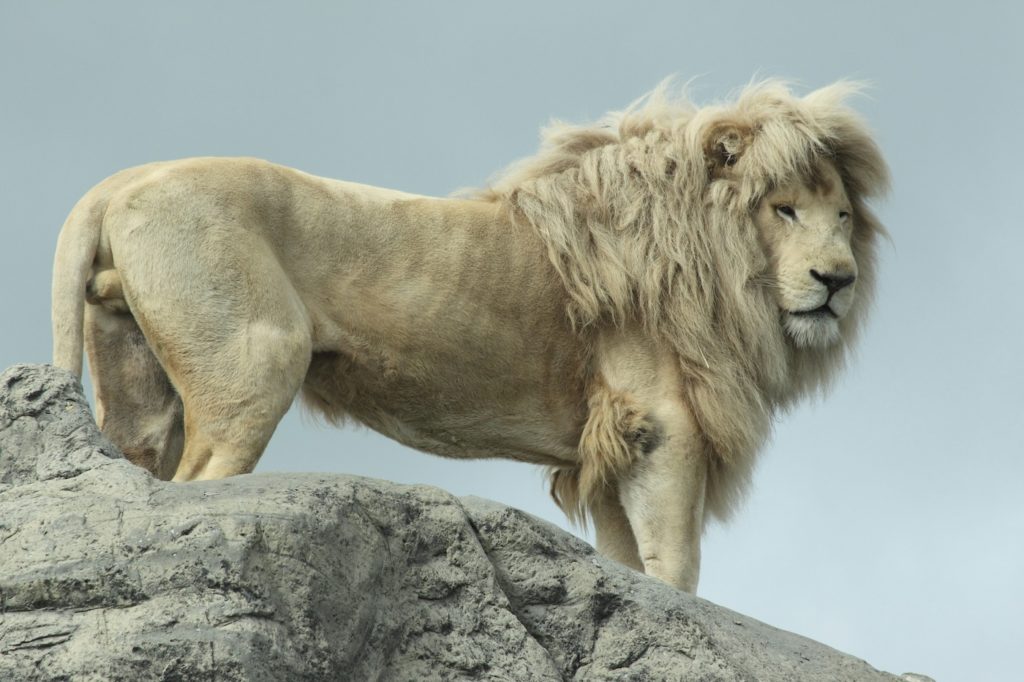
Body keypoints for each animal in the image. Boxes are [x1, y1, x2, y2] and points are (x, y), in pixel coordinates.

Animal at [51, 80, 888, 593]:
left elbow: (626, 561)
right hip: (255, 363)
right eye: (784, 210)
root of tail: (116, 183)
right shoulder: (660, 424)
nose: (837, 279)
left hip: (139, 380)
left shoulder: (608, 442)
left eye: (843, 216)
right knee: (201, 483)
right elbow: (675, 563)